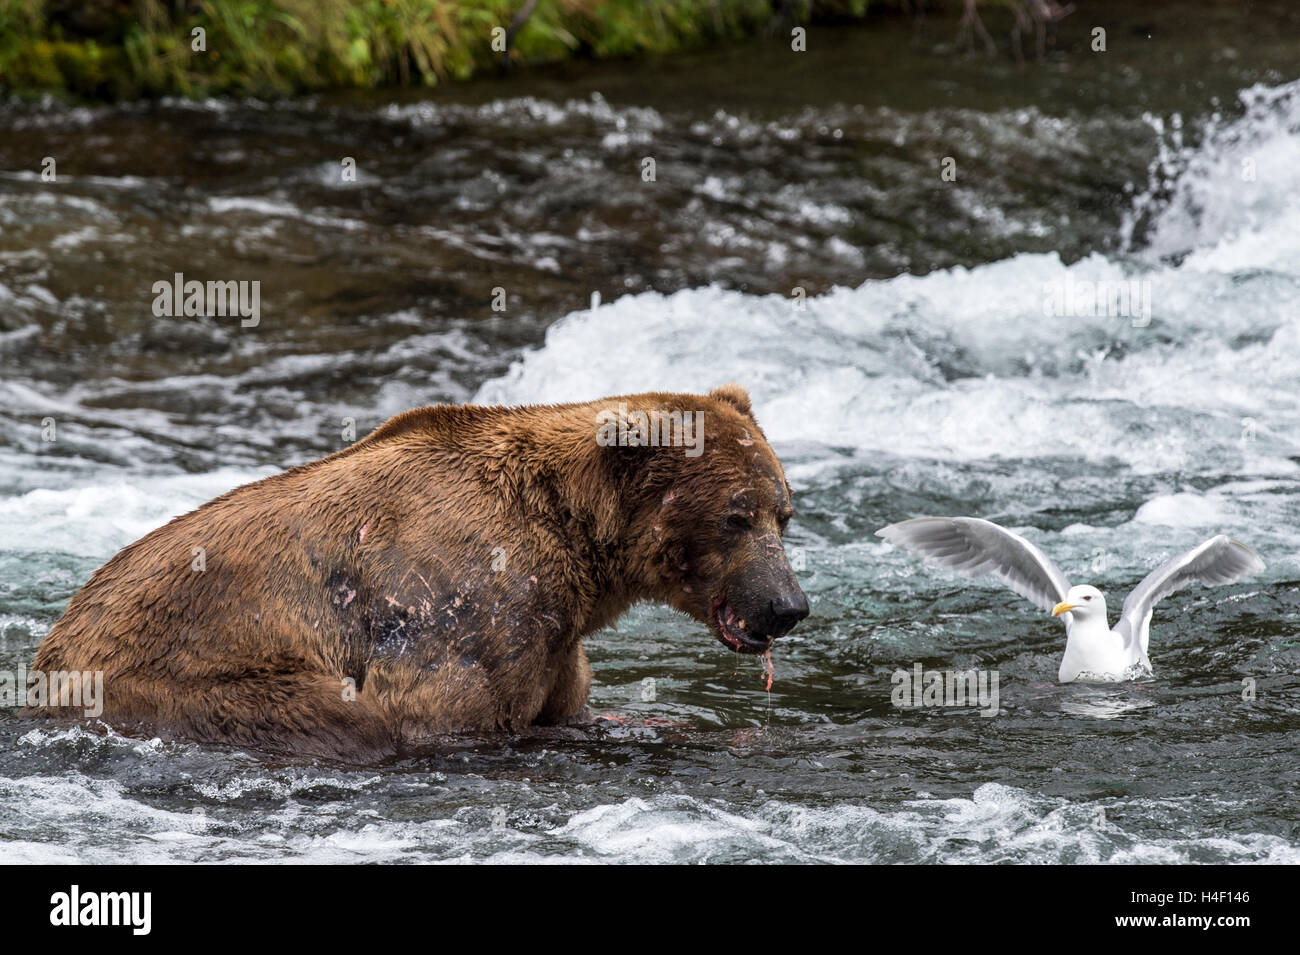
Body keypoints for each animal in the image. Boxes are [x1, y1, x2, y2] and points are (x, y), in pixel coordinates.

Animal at [27, 382, 800, 764]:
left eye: (783, 513)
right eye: (736, 516)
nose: (789, 606)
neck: (575, 547)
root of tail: (48, 650)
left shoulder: (556, 637)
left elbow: (571, 704)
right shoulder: (465, 609)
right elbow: (441, 713)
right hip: (183, 682)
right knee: (342, 718)